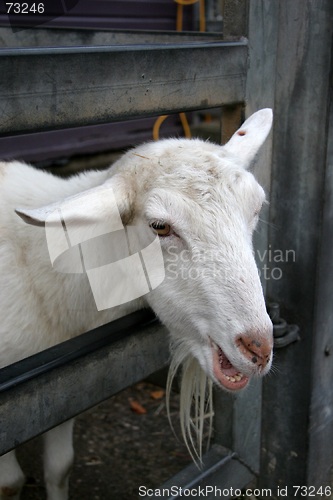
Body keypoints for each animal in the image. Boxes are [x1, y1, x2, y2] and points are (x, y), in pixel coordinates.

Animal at [0, 109, 272, 500]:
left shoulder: (51, 396)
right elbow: (10, 483)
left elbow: (59, 467)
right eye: (159, 226)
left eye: (256, 209)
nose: (258, 348)